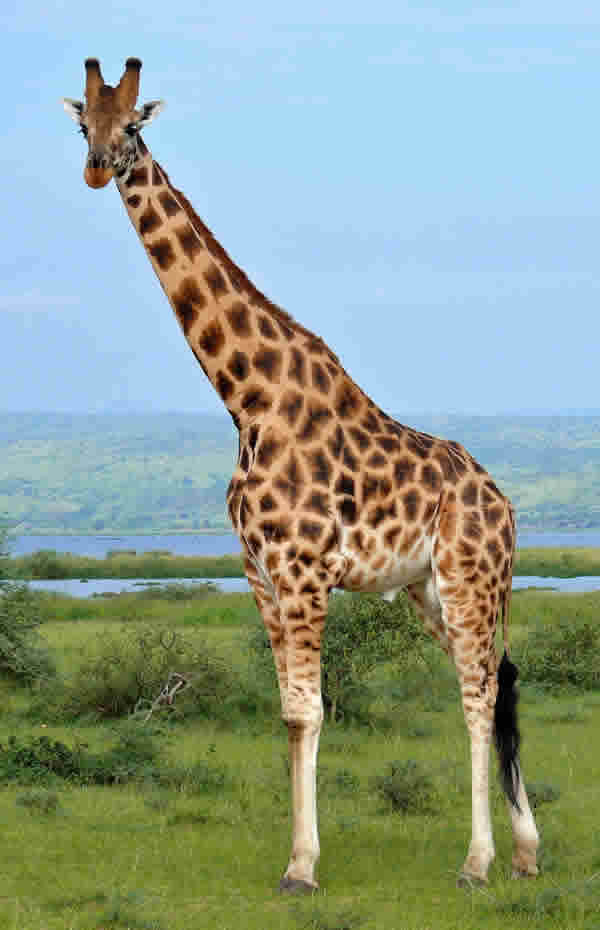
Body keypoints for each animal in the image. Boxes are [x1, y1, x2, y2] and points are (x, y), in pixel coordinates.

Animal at [62, 58, 539, 891]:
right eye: (82, 122)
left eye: (133, 126)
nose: (96, 168)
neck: (245, 398)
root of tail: (504, 504)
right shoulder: (258, 571)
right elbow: (288, 711)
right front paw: (298, 856)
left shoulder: (304, 569)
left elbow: (312, 711)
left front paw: (303, 867)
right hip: (430, 589)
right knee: (489, 682)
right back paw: (523, 851)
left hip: (471, 577)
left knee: (479, 694)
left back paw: (478, 862)